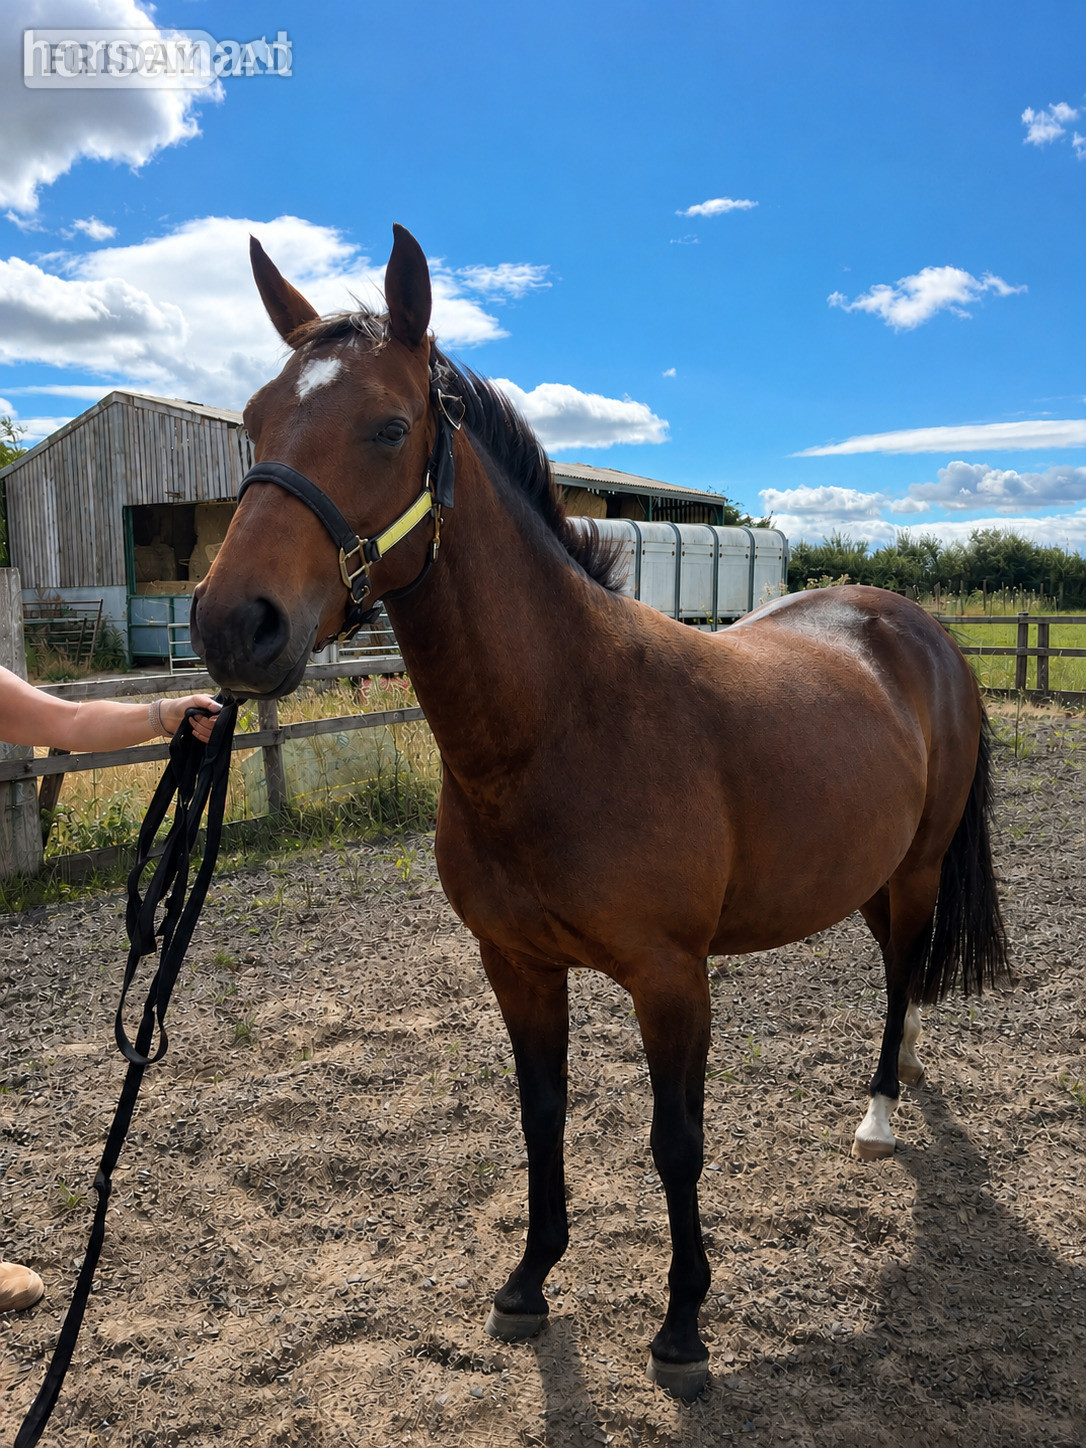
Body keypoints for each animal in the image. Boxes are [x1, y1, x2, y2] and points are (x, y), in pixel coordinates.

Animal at [189, 224, 1009, 1398]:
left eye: (388, 426)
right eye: (255, 421)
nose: (231, 624)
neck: (560, 726)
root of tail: (916, 626)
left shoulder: (671, 979)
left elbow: (677, 1142)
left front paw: (684, 1324)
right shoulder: (517, 965)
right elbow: (543, 1118)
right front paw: (530, 1279)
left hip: (918, 863)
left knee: (903, 968)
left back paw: (881, 1111)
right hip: (862, 868)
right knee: (902, 967)